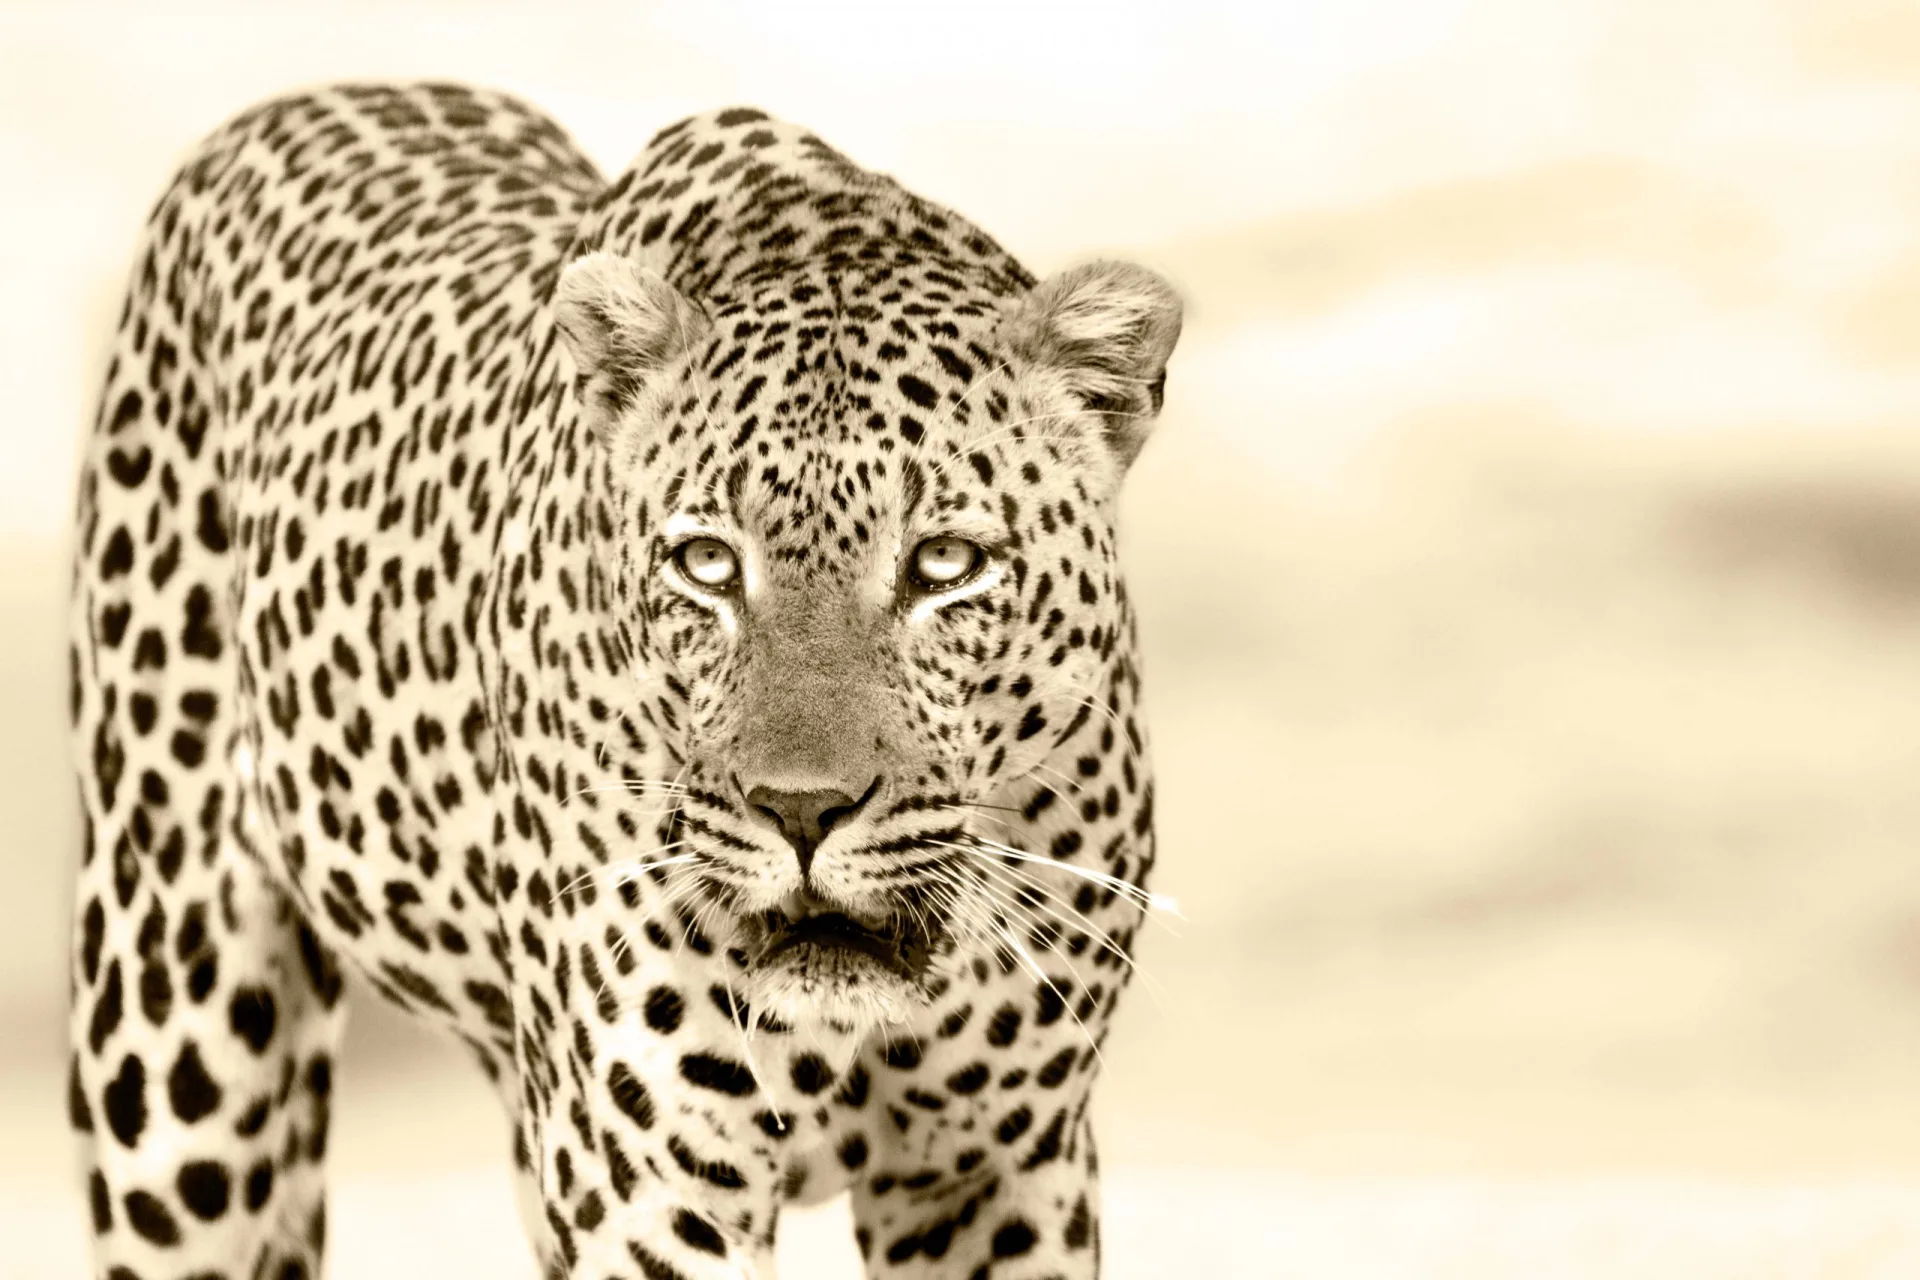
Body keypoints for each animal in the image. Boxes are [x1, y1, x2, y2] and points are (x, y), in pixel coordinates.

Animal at [66, 80, 1181, 1280]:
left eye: (944, 564)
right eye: (706, 564)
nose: (801, 811)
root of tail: (309, 95)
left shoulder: (993, 1173)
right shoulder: (647, 1182)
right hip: (172, 1057)